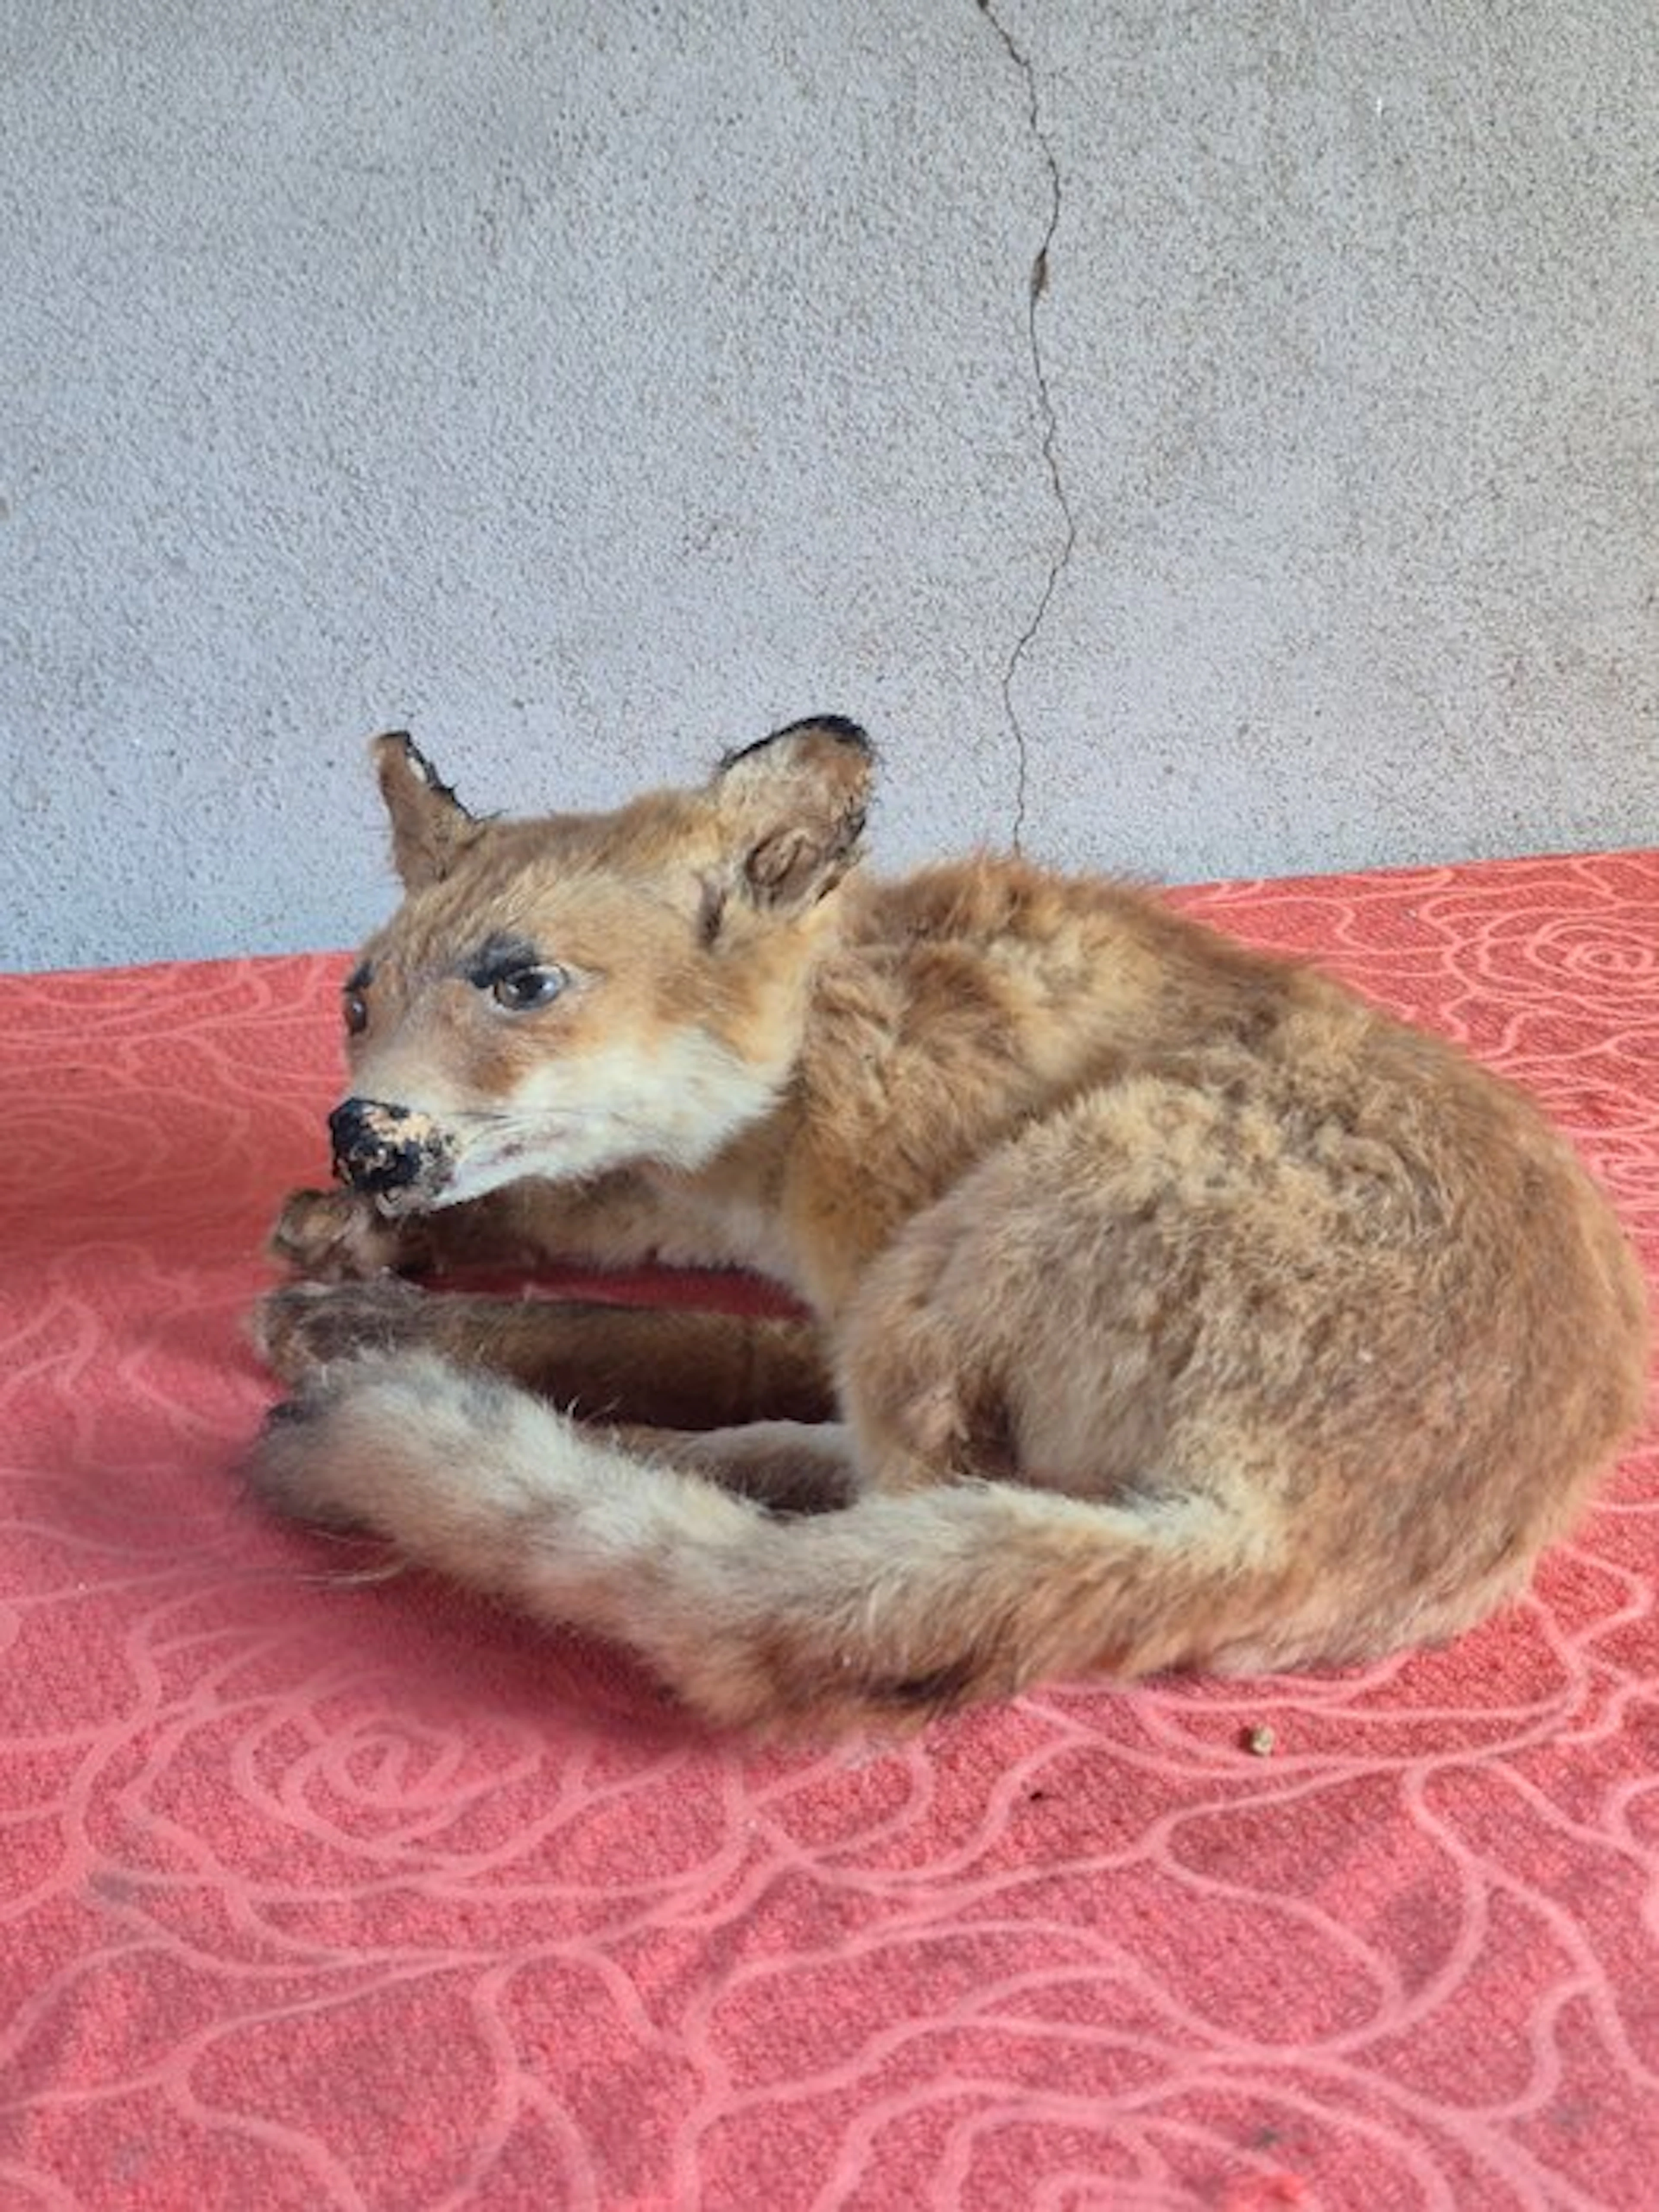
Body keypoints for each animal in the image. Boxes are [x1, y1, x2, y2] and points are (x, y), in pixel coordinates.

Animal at [246, 716, 1650, 1735]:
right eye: (357, 1001)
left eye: (521, 983)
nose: (359, 1134)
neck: (793, 1082)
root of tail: (1280, 1533)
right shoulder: (692, 1196)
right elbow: (565, 1206)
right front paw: (361, 1237)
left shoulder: (858, 1256)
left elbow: (642, 1327)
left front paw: (376, 1319)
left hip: (969, 1250)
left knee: (873, 1494)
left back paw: (604, 1439)